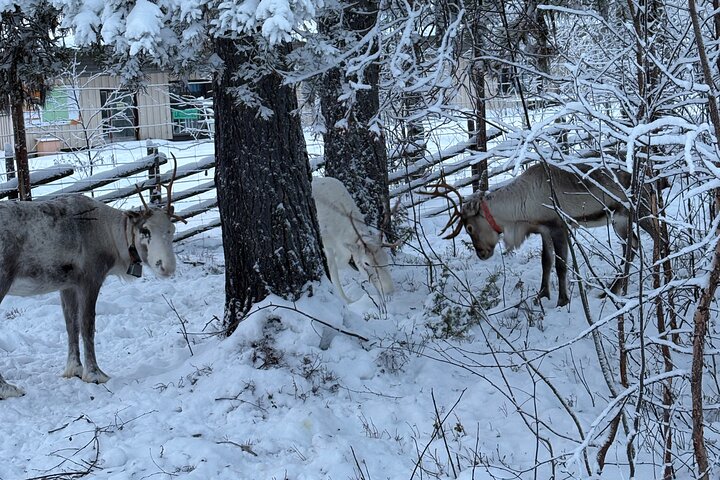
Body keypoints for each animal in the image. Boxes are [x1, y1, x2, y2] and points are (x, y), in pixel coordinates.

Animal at [0, 157, 186, 399]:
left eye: (171, 229)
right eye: (145, 230)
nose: (166, 266)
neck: (110, 237)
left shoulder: (67, 284)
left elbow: (71, 324)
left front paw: (74, 369)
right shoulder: (91, 278)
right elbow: (87, 325)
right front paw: (95, 374)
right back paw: (7, 388)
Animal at [425, 163, 658, 307]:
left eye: (469, 227)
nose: (482, 253)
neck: (520, 209)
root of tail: (651, 178)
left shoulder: (559, 227)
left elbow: (561, 265)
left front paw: (562, 300)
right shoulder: (544, 230)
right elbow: (546, 261)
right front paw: (542, 295)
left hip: (639, 213)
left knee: (654, 239)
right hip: (621, 221)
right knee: (632, 245)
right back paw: (616, 289)